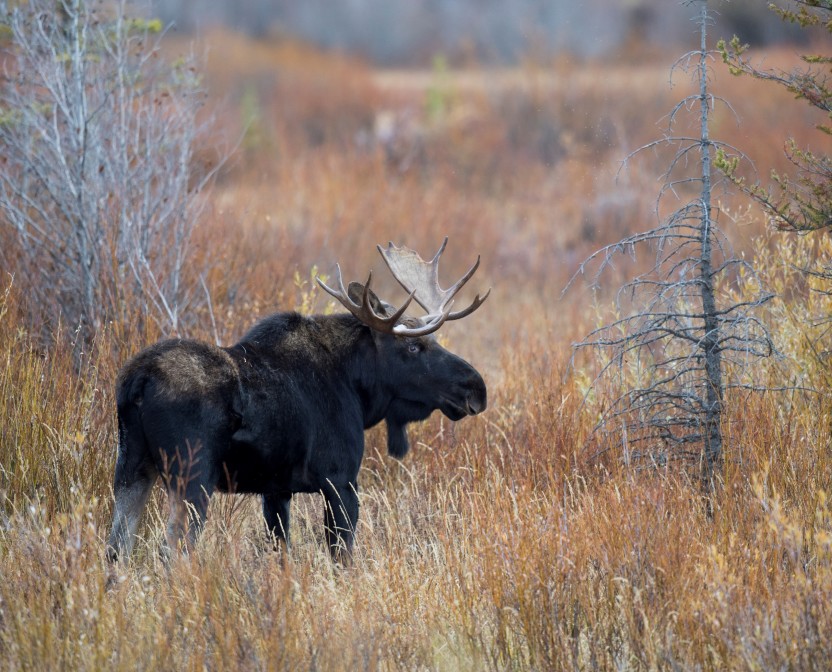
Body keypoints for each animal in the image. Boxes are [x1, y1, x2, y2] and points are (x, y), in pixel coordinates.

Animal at [107, 238, 490, 560]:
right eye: (413, 347)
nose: (476, 388)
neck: (357, 390)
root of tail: (136, 381)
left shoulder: (276, 490)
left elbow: (282, 553)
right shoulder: (340, 479)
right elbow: (342, 557)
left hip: (131, 468)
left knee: (116, 549)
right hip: (192, 477)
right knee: (171, 552)